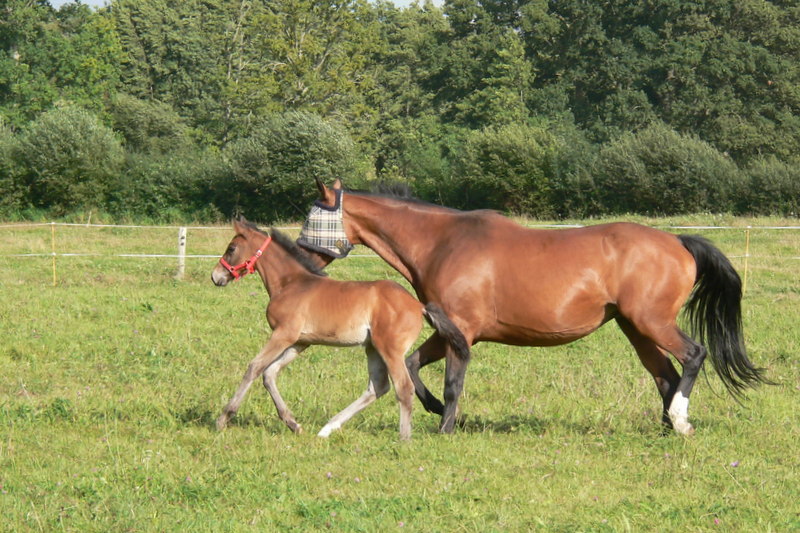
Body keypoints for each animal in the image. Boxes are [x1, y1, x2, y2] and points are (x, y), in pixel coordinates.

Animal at [298, 177, 768, 434]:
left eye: (310, 216)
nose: (301, 257)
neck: (443, 242)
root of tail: (677, 241)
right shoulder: (449, 329)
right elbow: (413, 366)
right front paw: (442, 413)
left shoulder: (460, 330)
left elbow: (452, 381)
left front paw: (447, 423)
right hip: (636, 329)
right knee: (665, 375)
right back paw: (668, 424)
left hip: (652, 322)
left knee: (693, 356)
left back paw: (681, 420)